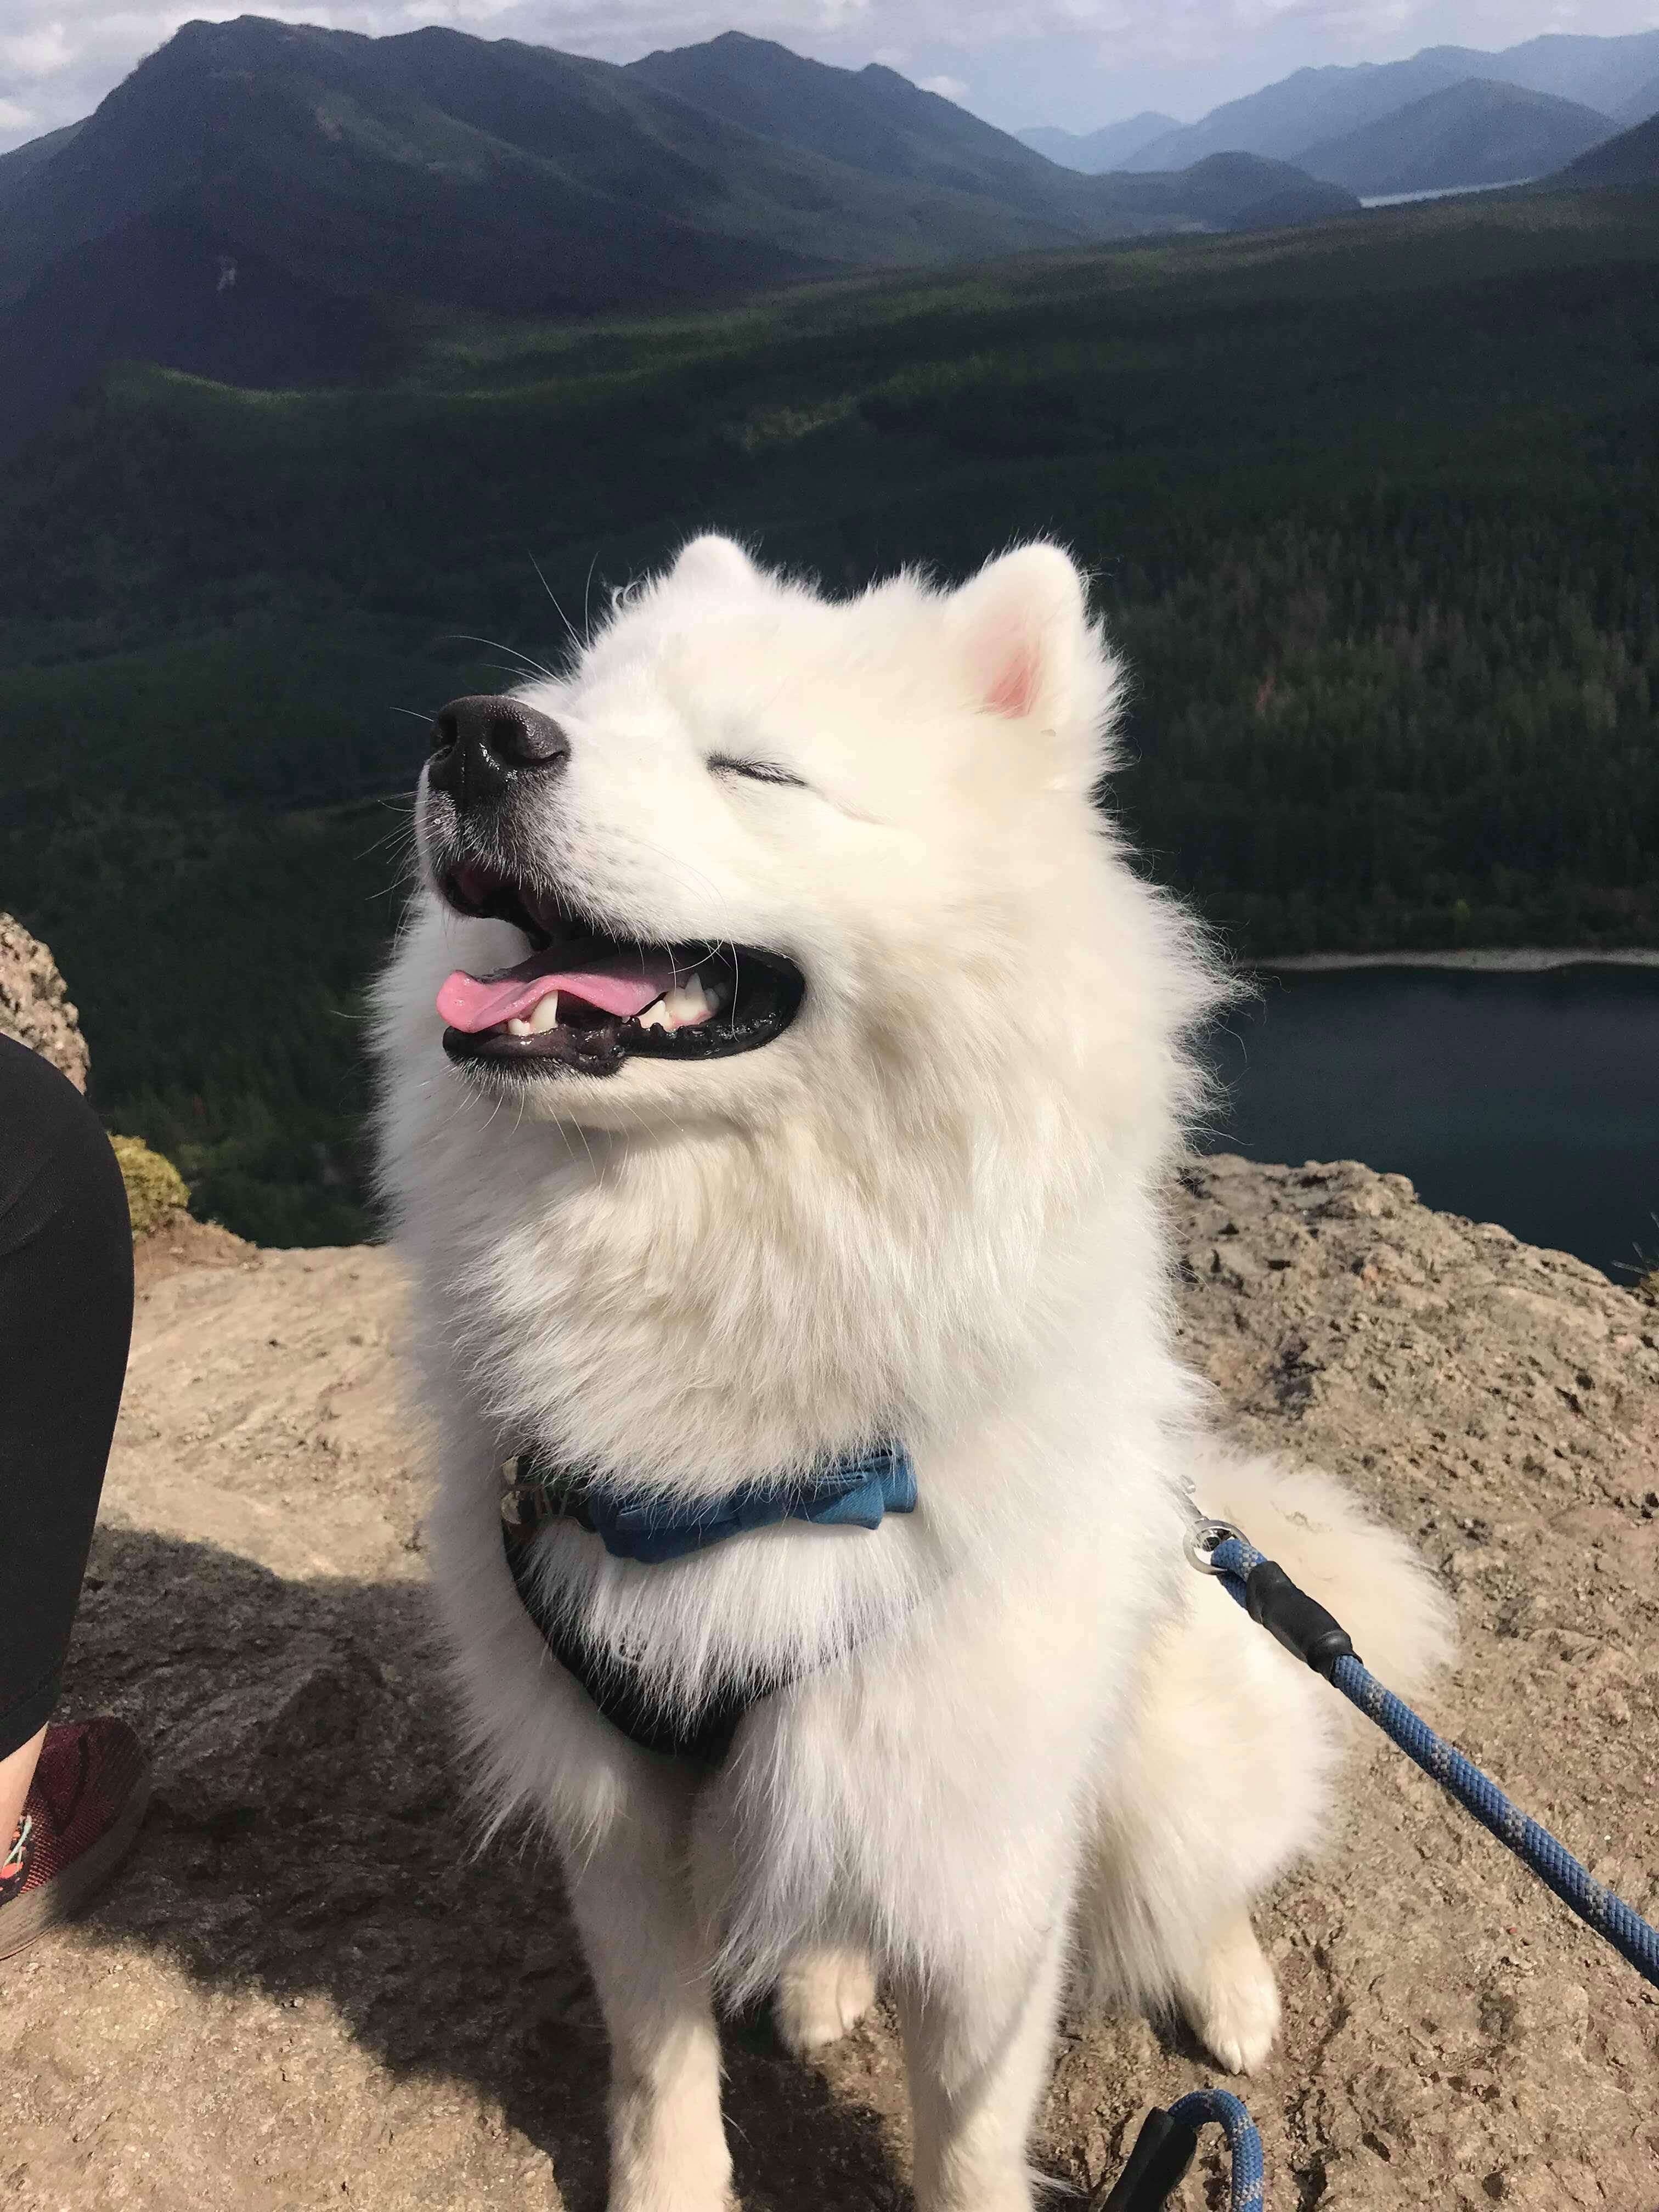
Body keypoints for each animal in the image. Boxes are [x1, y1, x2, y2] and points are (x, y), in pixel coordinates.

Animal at [376, 539, 1451, 2212]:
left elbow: (968, 2131)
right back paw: (822, 1980)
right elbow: (659, 2058)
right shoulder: (617, 1801)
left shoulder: (983, 1842)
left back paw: (1230, 1988)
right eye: (572, 707)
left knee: (1205, 1868)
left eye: (754, 769)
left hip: (1162, 1753)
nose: (478, 735)